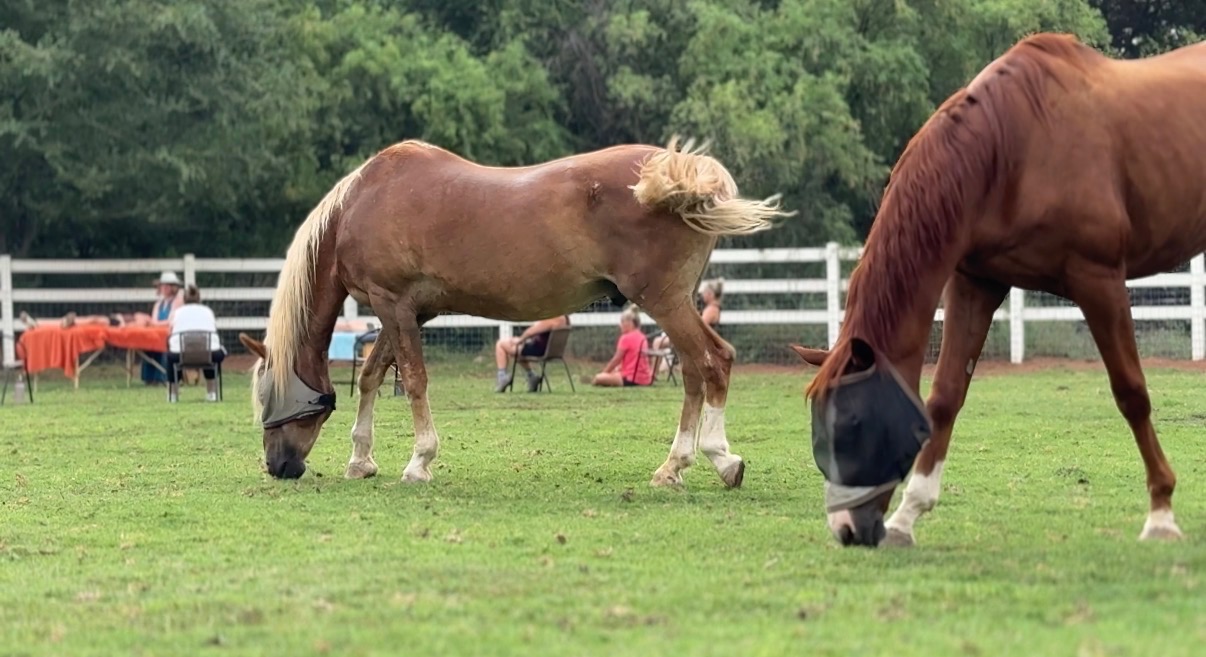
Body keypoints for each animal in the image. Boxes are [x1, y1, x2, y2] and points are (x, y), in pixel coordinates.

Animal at [236, 137, 792, 489]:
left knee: (713, 362)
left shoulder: (393, 305)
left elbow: (413, 380)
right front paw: (361, 459)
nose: (277, 466)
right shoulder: (404, 312)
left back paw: (720, 460)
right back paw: (674, 467)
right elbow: (373, 377)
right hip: (676, 303)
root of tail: (683, 175)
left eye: (267, 397)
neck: (361, 204)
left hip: (665, 300)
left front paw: (419, 462)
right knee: (695, 374)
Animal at [791, 32, 1205, 547]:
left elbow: (1131, 392)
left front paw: (1161, 514)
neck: (1011, 145)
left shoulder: (1100, 279)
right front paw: (907, 518)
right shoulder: (976, 283)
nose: (846, 530)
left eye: (854, 423)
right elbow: (945, 397)